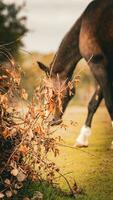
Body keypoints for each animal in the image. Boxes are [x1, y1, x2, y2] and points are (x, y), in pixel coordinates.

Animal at [37, 0, 113, 148]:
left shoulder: (98, 63)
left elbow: (109, 103)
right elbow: (94, 103)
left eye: (49, 92)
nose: (51, 120)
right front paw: (82, 139)